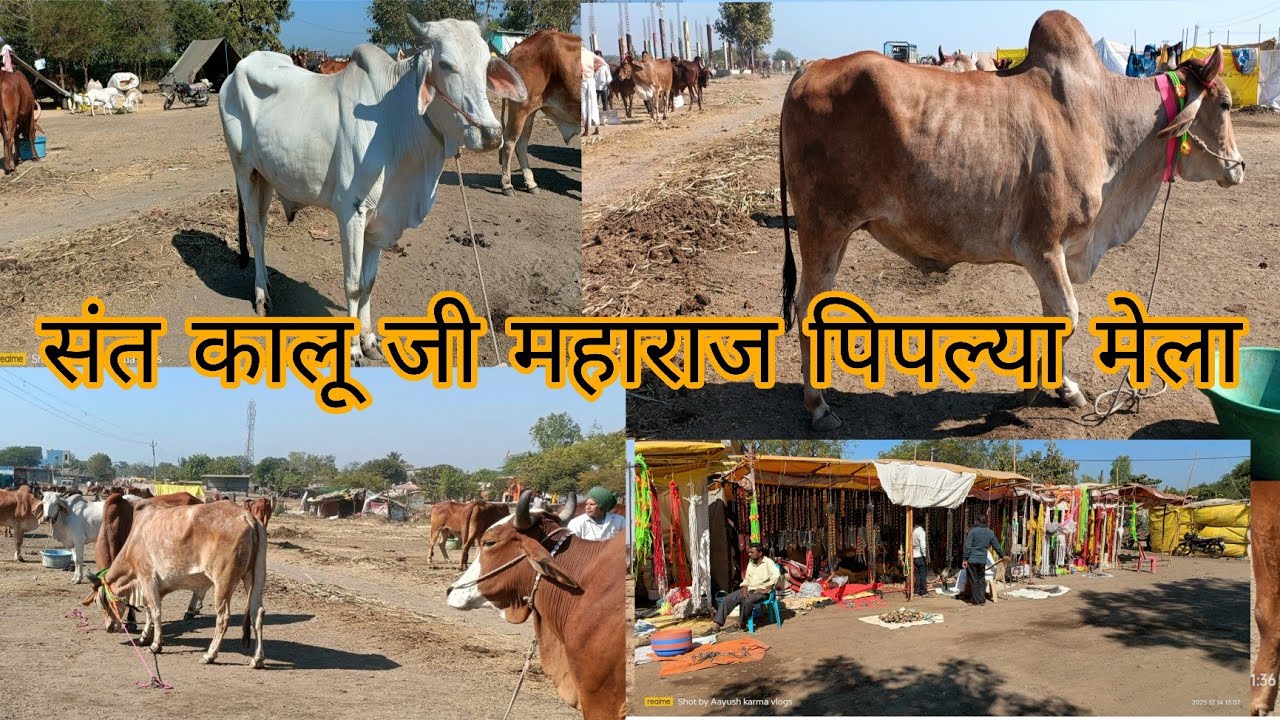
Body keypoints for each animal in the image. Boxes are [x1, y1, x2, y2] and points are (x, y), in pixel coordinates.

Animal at [89, 501, 267, 667]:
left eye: (102, 602)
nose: (109, 627)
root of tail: (247, 516)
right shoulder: (153, 587)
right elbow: (149, 611)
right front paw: (144, 637)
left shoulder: (147, 577)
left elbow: (155, 612)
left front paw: (155, 645)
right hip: (255, 577)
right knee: (257, 613)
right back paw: (257, 659)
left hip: (223, 581)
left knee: (223, 617)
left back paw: (209, 655)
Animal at [219, 16, 527, 365]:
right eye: (446, 65)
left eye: (486, 65)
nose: (491, 134)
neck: (397, 124)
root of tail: (240, 67)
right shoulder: (352, 212)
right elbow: (353, 284)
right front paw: (353, 349)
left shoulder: (382, 219)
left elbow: (368, 282)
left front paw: (368, 340)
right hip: (243, 169)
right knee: (256, 231)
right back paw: (261, 296)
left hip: (266, 176)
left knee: (260, 226)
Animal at [497, 29, 580, 196]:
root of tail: (515, 49)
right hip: (520, 108)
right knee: (509, 141)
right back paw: (507, 185)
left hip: (530, 111)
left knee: (521, 143)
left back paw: (531, 184)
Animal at [778, 11, 1244, 431]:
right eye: (1224, 104)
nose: (1239, 168)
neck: (1100, 121)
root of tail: (810, 67)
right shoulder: (1042, 246)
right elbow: (1068, 315)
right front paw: (1030, 390)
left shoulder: (1055, 254)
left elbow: (1055, 318)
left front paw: (1064, 388)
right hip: (823, 227)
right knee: (805, 308)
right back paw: (818, 407)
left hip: (837, 232)